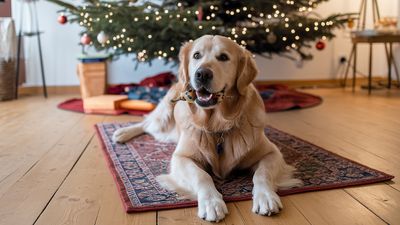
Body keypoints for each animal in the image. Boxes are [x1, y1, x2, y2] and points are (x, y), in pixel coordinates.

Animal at [111, 34, 300, 221]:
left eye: (223, 57)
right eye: (196, 55)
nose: (202, 74)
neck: (217, 125)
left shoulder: (272, 153)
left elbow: (262, 174)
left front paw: (265, 197)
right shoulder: (181, 157)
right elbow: (202, 176)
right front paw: (212, 203)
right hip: (164, 114)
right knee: (147, 123)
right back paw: (122, 133)